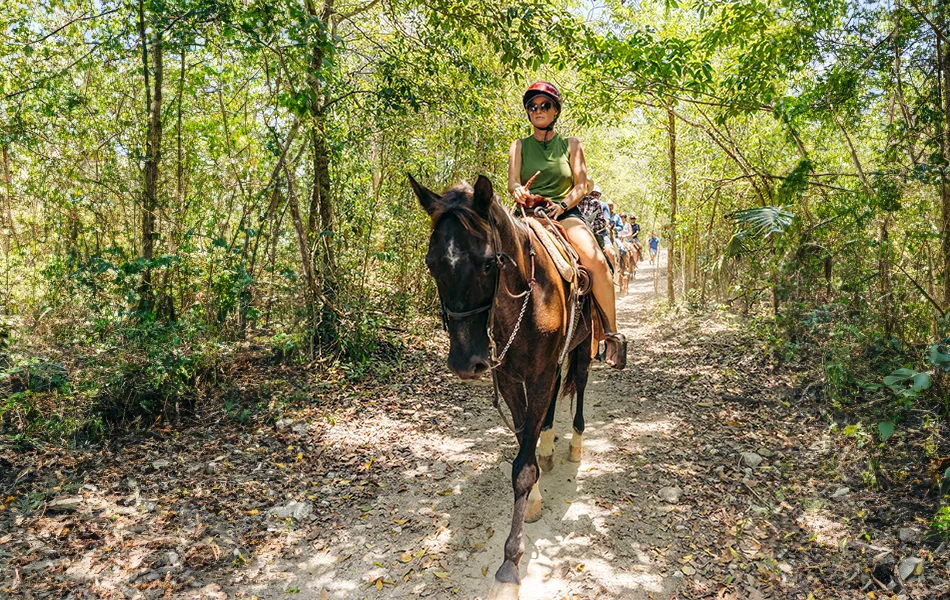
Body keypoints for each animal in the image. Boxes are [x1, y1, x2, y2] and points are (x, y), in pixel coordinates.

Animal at [410, 173, 596, 600]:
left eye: (487, 262)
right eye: (431, 264)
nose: (466, 363)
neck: (526, 301)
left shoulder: (539, 374)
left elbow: (522, 468)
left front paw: (509, 568)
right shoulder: (511, 378)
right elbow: (524, 439)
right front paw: (537, 487)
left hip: (582, 345)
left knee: (578, 383)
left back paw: (575, 444)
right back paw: (548, 445)